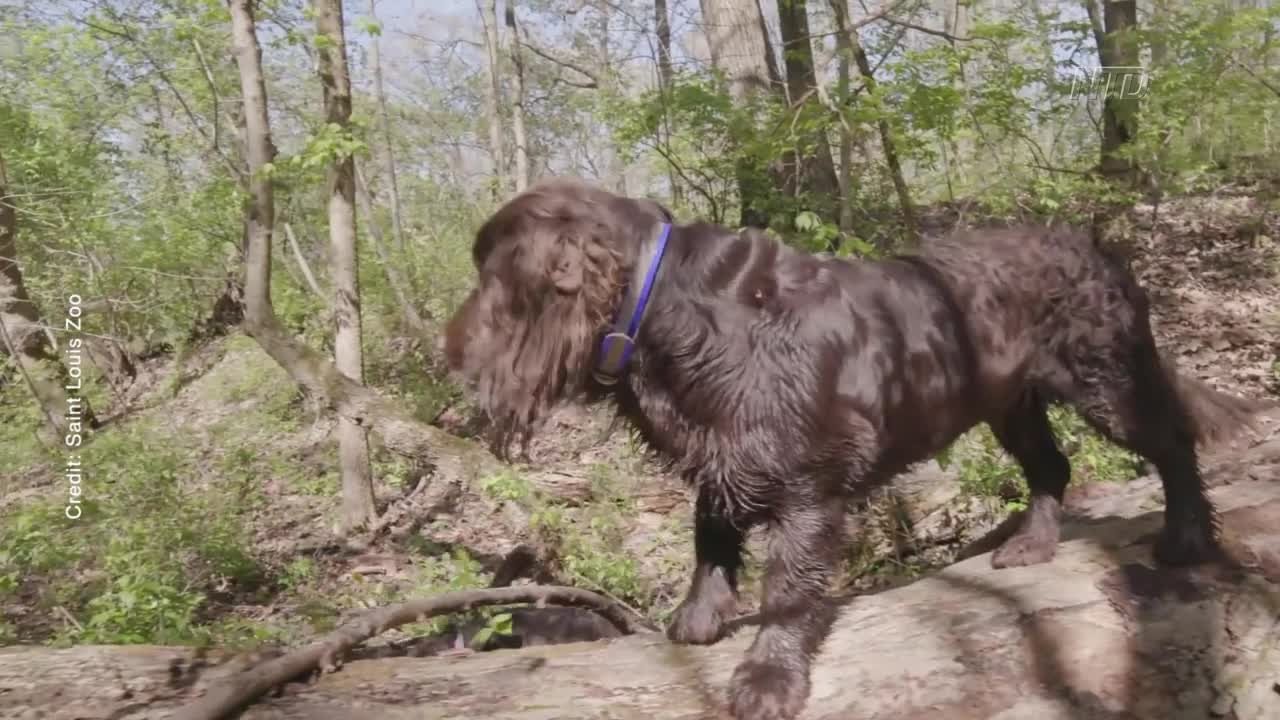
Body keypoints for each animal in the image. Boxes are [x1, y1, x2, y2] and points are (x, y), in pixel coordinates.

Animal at [445, 176, 1264, 717]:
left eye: (493, 276)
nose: (446, 353)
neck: (672, 309)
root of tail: (1099, 247)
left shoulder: (808, 480)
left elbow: (785, 590)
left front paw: (768, 680)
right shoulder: (726, 453)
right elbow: (710, 537)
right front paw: (699, 618)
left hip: (1105, 377)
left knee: (1171, 444)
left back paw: (1187, 537)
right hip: (1011, 404)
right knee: (1052, 467)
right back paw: (1031, 546)